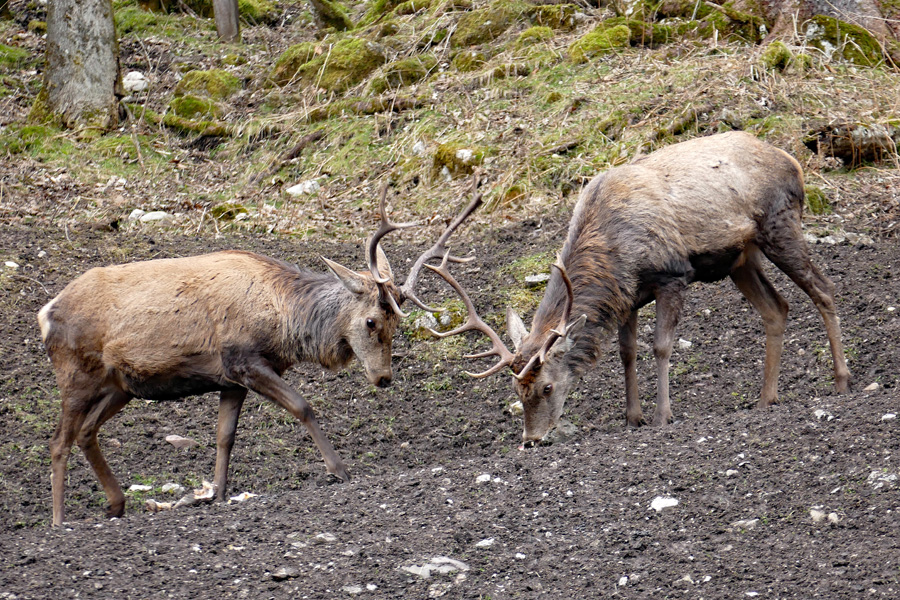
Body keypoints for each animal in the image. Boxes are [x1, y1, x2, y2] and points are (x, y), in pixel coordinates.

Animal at [38, 186, 482, 524]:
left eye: (396, 325)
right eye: (372, 321)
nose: (384, 377)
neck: (284, 321)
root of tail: (47, 312)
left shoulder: (229, 379)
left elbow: (225, 437)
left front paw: (217, 493)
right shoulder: (244, 360)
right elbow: (303, 406)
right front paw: (339, 470)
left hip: (121, 385)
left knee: (86, 431)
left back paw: (116, 504)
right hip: (76, 372)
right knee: (59, 440)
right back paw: (59, 522)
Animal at [428, 131, 852, 446]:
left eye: (547, 387)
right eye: (517, 392)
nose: (531, 439)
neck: (616, 254)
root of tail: (793, 162)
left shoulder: (672, 275)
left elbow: (661, 346)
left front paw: (663, 415)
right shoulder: (626, 296)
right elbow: (626, 353)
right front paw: (633, 417)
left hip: (780, 225)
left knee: (825, 288)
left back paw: (841, 381)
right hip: (742, 259)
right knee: (777, 308)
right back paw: (766, 398)